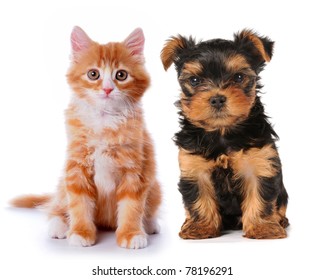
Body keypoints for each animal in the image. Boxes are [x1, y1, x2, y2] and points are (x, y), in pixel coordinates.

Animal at [12, 26, 162, 249]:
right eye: (93, 74)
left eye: (121, 75)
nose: (107, 89)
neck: (104, 121)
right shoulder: (76, 167)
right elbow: (79, 203)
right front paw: (80, 233)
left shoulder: (136, 169)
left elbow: (132, 207)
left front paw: (131, 234)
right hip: (62, 184)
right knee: (56, 207)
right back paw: (59, 227)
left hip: (155, 187)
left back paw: (150, 224)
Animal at [161, 30, 290, 238]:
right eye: (195, 80)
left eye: (238, 77)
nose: (217, 99)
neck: (222, 131)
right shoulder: (194, 167)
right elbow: (198, 199)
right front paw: (200, 227)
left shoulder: (260, 163)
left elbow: (261, 197)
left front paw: (262, 228)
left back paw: (280, 220)